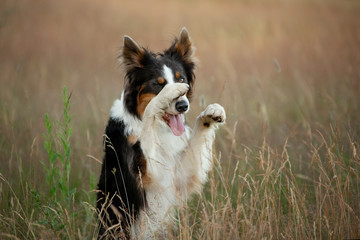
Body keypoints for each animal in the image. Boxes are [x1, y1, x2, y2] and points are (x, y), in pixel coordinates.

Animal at [95, 27, 225, 239]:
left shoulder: (180, 174)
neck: (160, 129)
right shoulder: (146, 173)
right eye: (159, 84)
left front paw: (211, 112)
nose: (183, 106)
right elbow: (149, 117)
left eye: (182, 79)